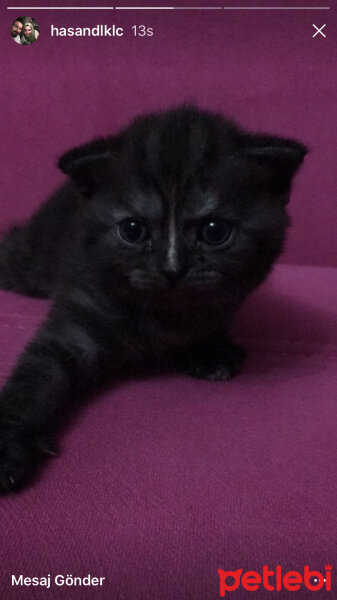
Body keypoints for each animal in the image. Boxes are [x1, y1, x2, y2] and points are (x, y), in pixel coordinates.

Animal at [0, 108, 306, 492]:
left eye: (215, 231)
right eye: (132, 229)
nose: (172, 269)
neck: (162, 315)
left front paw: (212, 349)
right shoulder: (80, 308)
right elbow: (37, 376)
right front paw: (9, 446)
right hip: (31, 260)